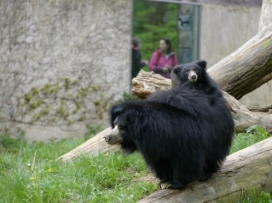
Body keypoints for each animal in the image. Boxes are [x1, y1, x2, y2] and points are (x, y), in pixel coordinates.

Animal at [104, 86, 234, 190]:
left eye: (121, 127)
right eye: (115, 124)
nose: (107, 137)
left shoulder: (185, 139)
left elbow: (186, 160)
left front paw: (175, 183)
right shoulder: (155, 147)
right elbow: (160, 162)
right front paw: (165, 181)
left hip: (217, 132)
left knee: (213, 153)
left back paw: (206, 173)